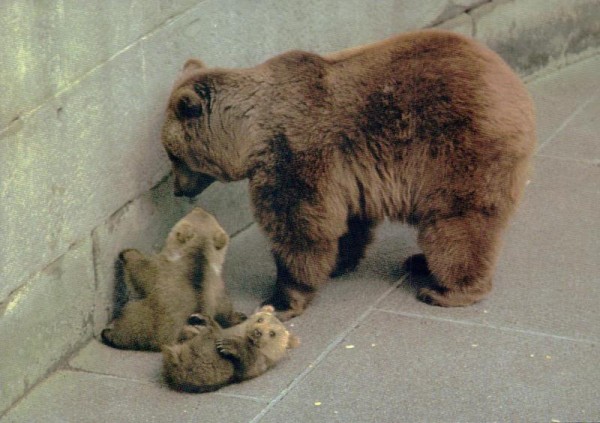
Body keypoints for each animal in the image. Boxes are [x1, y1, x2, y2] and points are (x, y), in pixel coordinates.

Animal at [162, 30, 536, 322]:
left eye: (173, 156)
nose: (178, 190)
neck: (253, 133)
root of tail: (511, 81)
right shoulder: (345, 172)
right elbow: (345, 222)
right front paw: (339, 262)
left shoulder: (294, 155)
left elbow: (299, 226)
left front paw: (280, 299)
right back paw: (419, 262)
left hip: (457, 147)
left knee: (457, 222)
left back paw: (445, 289)